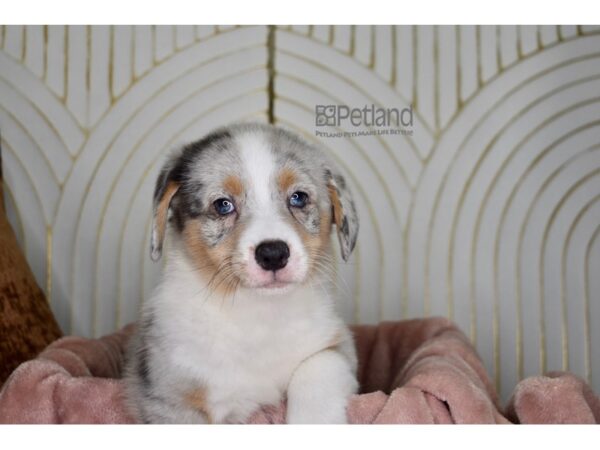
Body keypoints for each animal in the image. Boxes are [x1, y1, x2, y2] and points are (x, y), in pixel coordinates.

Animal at [121, 121, 356, 424]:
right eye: (223, 205)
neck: (256, 314)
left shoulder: (336, 342)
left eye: (298, 198)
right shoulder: (167, 393)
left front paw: (313, 420)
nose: (273, 254)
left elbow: (318, 365)